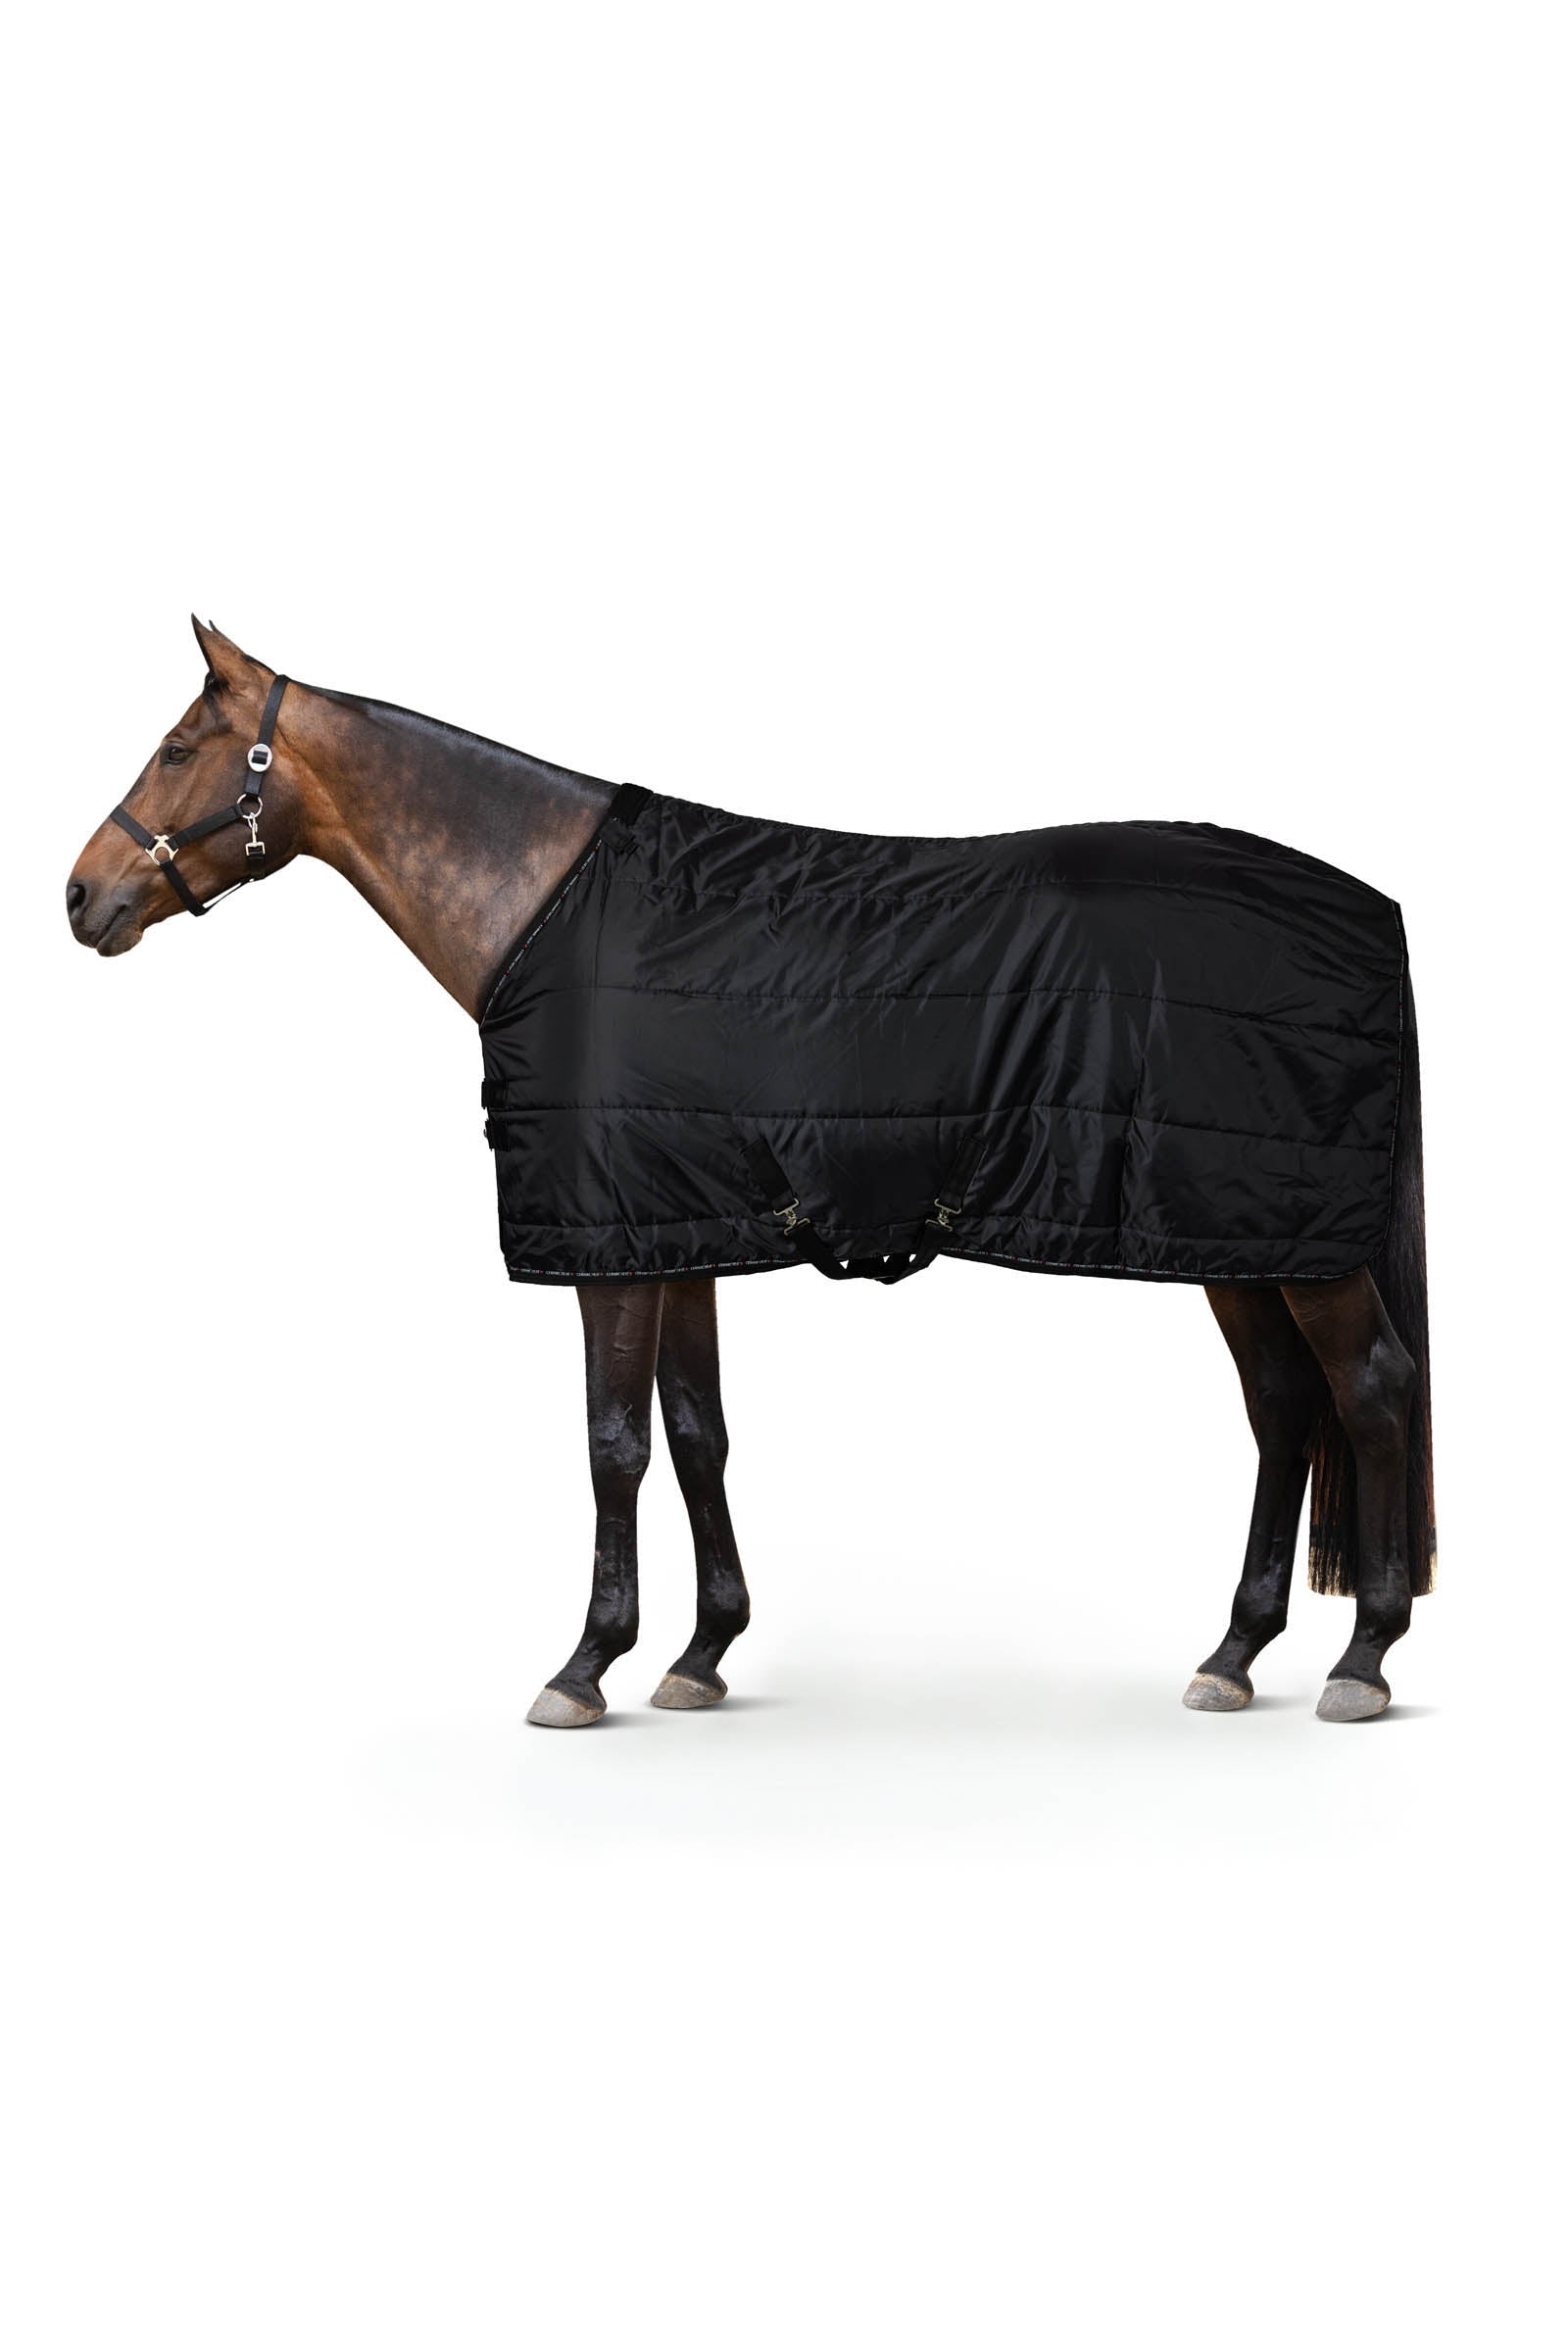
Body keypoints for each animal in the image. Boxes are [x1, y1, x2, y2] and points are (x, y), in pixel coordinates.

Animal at [67, 619, 1435, 1727]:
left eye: (179, 749)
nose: (81, 897)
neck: (549, 905)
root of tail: (1368, 907)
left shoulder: (610, 1249)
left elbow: (613, 1442)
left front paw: (585, 1665)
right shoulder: (678, 1232)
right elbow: (696, 1433)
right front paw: (700, 1653)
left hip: (1290, 1245)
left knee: (1369, 1390)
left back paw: (1362, 1658)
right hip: (1233, 1238)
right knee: (1283, 1406)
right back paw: (1235, 1652)